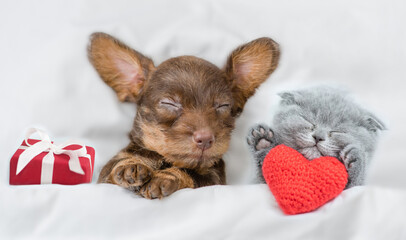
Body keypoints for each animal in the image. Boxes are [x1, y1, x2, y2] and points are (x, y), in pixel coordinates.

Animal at [88, 33, 280, 199]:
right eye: (169, 103)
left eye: (223, 106)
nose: (205, 138)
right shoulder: (105, 177)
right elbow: (115, 166)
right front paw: (129, 167)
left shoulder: (212, 179)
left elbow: (188, 174)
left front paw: (166, 177)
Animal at [247, 86, 384, 189]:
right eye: (309, 121)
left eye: (337, 131)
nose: (318, 137)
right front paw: (263, 140)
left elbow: (355, 185)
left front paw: (354, 159)